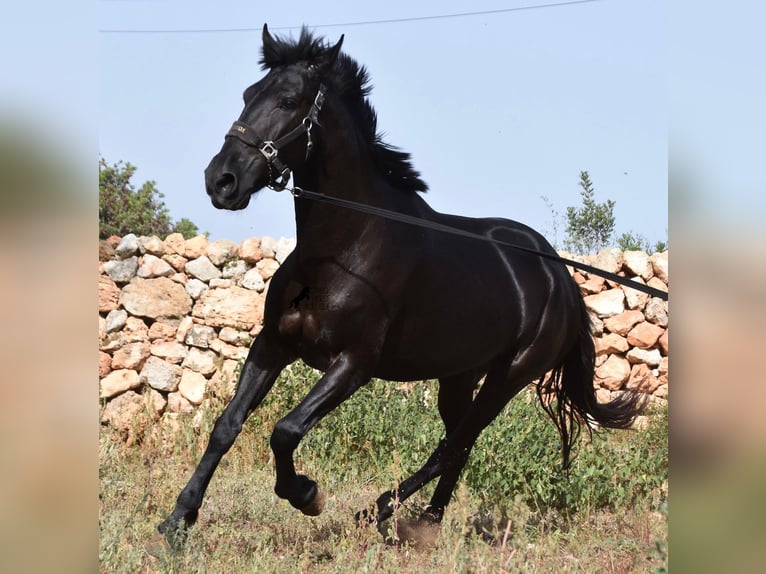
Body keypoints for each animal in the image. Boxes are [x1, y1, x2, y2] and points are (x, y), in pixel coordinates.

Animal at [159, 23, 644, 544]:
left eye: (288, 100)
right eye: (249, 94)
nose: (221, 181)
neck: (342, 248)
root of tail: (561, 277)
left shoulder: (354, 363)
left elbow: (285, 431)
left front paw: (308, 495)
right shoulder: (273, 344)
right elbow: (226, 426)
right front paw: (176, 521)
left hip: (508, 377)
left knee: (453, 445)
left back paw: (381, 513)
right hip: (459, 375)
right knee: (457, 445)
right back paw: (424, 521)